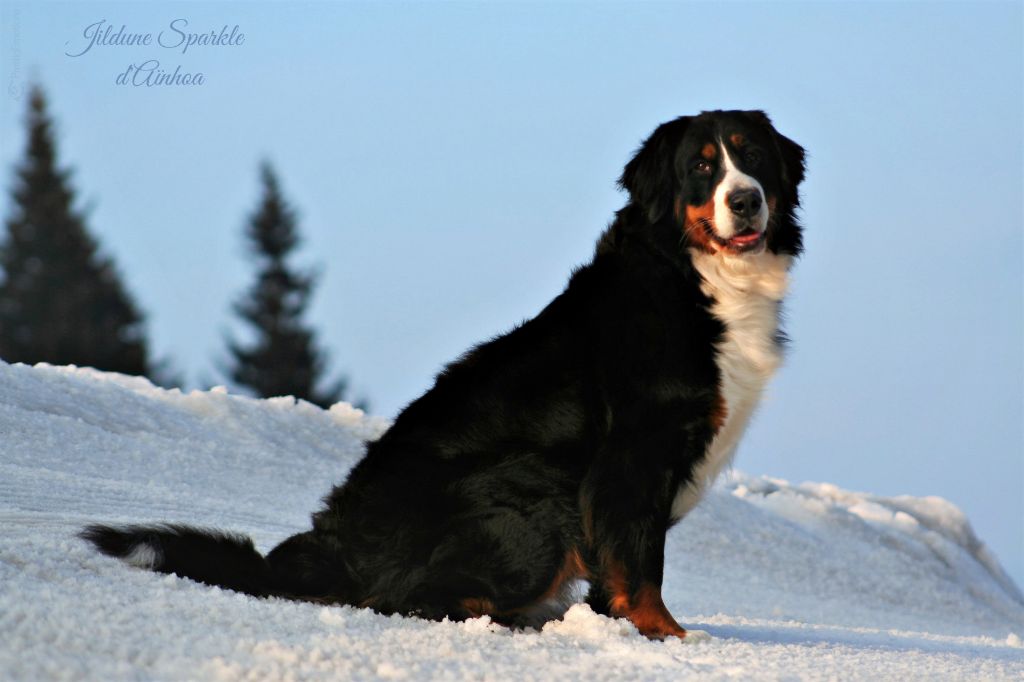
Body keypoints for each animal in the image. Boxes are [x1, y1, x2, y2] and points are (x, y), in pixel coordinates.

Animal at [83, 110, 802, 638]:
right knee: (411, 601)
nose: (745, 201)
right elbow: (638, 562)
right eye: (701, 167)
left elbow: (616, 570)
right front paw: (666, 636)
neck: (695, 278)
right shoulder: (633, 454)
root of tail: (333, 549)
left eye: (754, 158)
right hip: (534, 487)